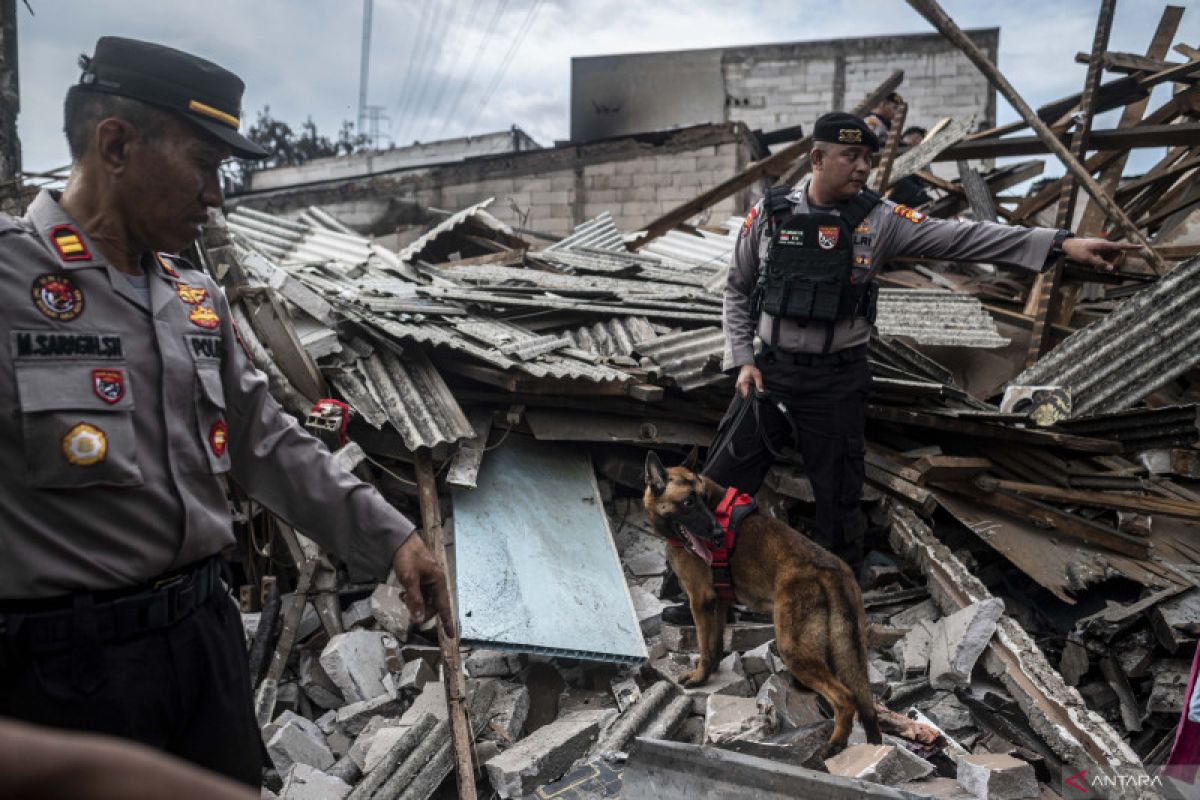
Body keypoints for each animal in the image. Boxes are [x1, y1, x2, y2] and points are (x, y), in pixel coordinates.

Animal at [648, 450, 883, 758]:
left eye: (701, 498)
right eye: (688, 502)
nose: (717, 534)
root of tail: (832, 570)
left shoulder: (701, 600)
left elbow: (705, 646)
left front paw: (699, 678)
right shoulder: (719, 603)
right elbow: (715, 645)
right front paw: (711, 673)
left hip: (793, 649)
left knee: (845, 698)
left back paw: (834, 745)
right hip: (850, 652)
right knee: (867, 705)